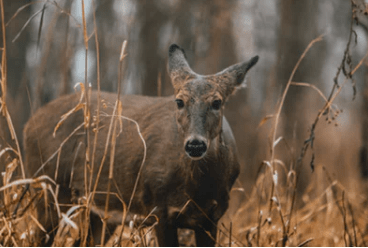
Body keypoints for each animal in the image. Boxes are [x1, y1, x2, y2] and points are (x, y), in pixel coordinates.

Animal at [23, 44, 258, 246]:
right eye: (179, 101)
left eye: (217, 102)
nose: (195, 145)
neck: (197, 190)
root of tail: (29, 124)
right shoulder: (159, 209)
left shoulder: (211, 218)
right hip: (48, 188)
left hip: (98, 212)